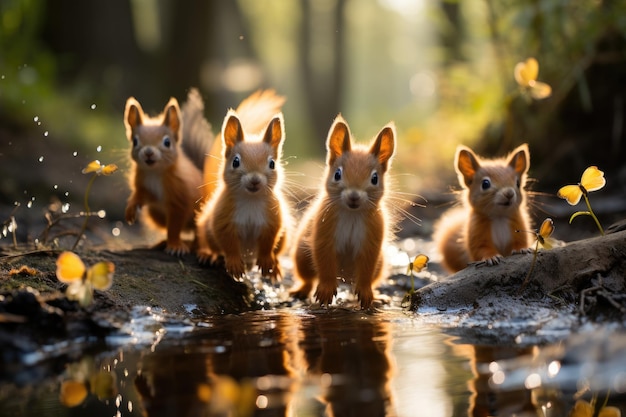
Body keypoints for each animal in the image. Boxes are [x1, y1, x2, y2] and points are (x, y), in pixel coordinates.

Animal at [123, 88, 213, 254]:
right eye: (135, 141)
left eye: (167, 142)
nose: (148, 153)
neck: (155, 172)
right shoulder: (144, 185)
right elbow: (140, 194)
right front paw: (131, 207)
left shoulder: (180, 199)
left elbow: (175, 226)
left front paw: (175, 246)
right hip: (155, 214)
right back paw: (162, 242)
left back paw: (199, 248)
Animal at [195, 89, 288, 282]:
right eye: (235, 162)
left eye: (272, 164)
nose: (255, 180)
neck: (250, 199)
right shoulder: (223, 219)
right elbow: (228, 243)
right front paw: (234, 265)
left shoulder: (273, 220)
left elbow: (268, 243)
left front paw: (267, 261)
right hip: (205, 228)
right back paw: (207, 255)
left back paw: (275, 268)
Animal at [288, 114, 394, 308]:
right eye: (337, 174)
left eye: (375, 178)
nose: (354, 196)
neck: (351, 213)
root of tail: (344, 279)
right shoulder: (324, 233)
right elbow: (325, 263)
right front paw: (326, 291)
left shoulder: (372, 239)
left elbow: (366, 269)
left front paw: (367, 293)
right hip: (302, 257)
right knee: (308, 278)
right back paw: (301, 291)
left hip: (380, 264)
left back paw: (376, 296)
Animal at [434, 143, 532, 272]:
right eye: (485, 184)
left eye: (518, 183)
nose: (509, 193)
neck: (499, 217)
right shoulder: (478, 234)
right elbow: (481, 249)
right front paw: (491, 257)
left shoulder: (519, 227)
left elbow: (520, 241)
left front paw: (522, 248)